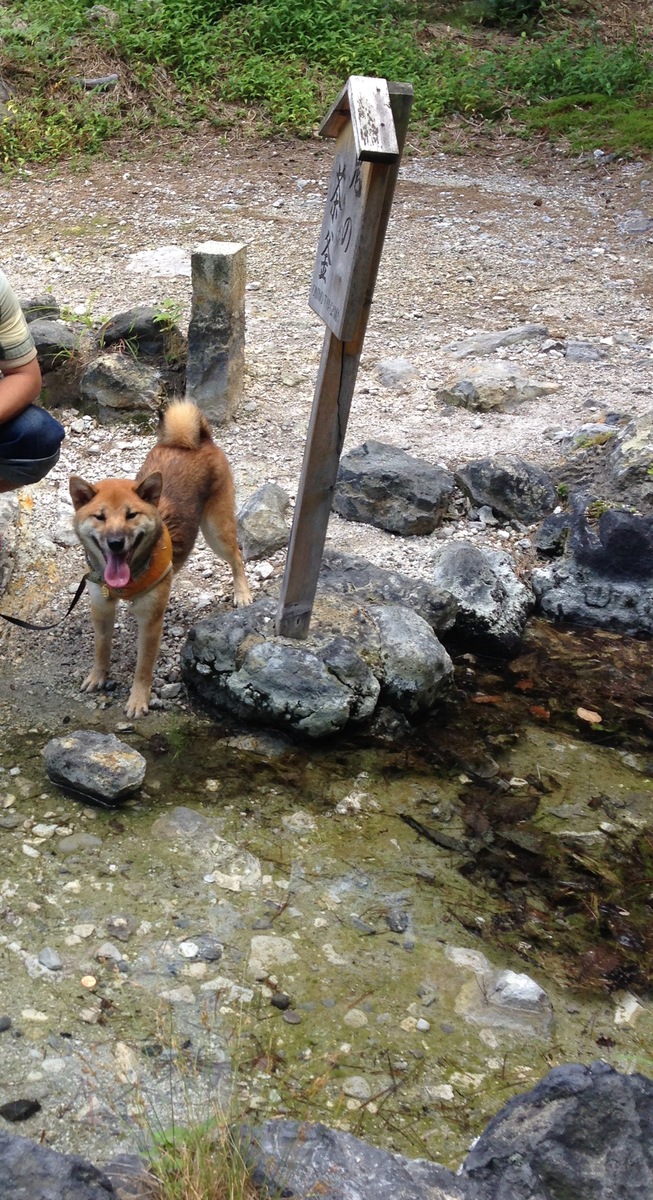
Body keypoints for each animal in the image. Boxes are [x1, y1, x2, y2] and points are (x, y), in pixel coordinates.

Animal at [70, 403, 250, 720]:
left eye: (131, 515)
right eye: (100, 517)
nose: (115, 542)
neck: (126, 581)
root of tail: (199, 441)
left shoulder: (151, 622)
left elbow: (143, 668)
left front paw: (138, 700)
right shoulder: (101, 609)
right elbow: (101, 649)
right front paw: (97, 676)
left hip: (216, 531)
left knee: (237, 557)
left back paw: (242, 593)